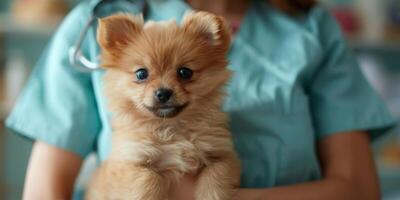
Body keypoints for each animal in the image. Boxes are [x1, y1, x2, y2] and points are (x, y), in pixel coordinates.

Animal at [86, 11, 241, 200]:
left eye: (185, 72)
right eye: (141, 74)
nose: (163, 93)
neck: (170, 128)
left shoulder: (223, 155)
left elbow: (215, 178)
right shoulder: (130, 161)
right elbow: (149, 178)